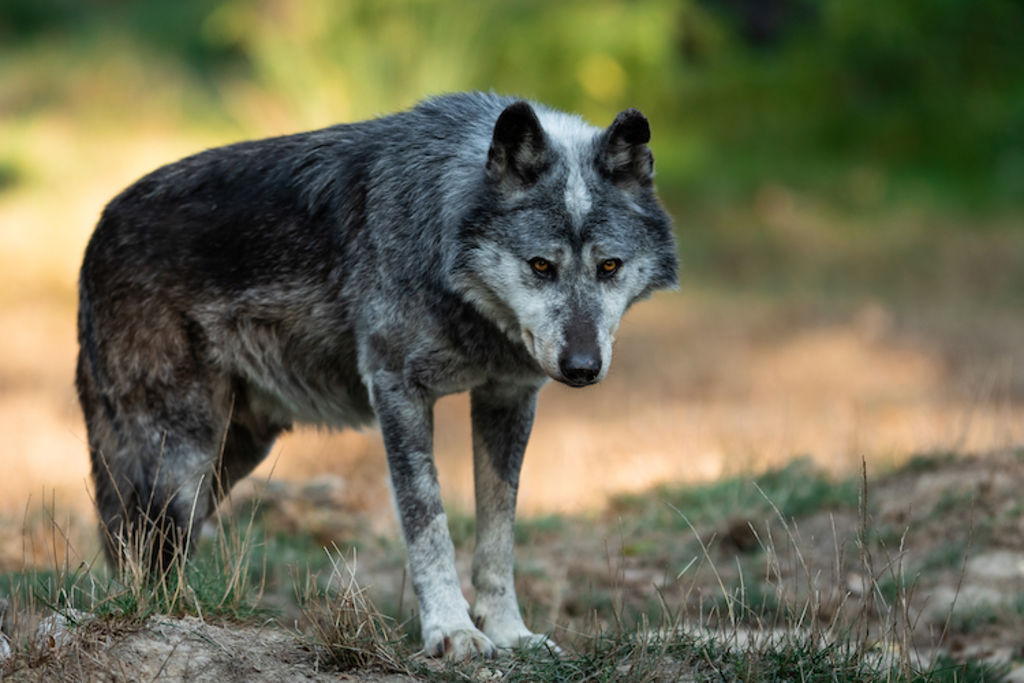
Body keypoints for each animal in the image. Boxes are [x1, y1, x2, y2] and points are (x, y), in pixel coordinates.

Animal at [76, 92, 678, 658]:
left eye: (609, 267)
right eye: (541, 266)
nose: (582, 368)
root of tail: (100, 225)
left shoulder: (508, 397)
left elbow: (498, 534)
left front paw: (509, 633)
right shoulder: (399, 391)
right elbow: (427, 522)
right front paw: (451, 632)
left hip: (232, 453)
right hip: (181, 454)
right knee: (148, 551)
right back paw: (170, 617)